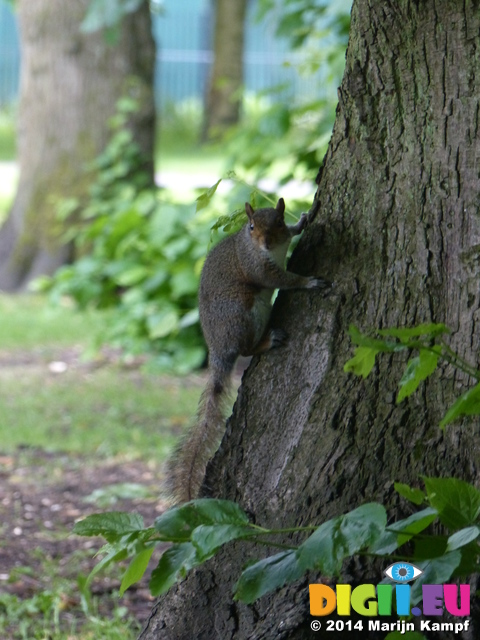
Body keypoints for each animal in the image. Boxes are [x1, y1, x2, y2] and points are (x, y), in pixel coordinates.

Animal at [167, 198, 328, 502]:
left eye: (279, 221)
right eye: (251, 226)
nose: (266, 242)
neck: (269, 250)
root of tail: (218, 351)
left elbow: (293, 233)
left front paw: (304, 219)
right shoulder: (258, 267)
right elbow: (284, 281)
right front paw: (308, 282)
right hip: (246, 314)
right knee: (247, 349)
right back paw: (267, 341)